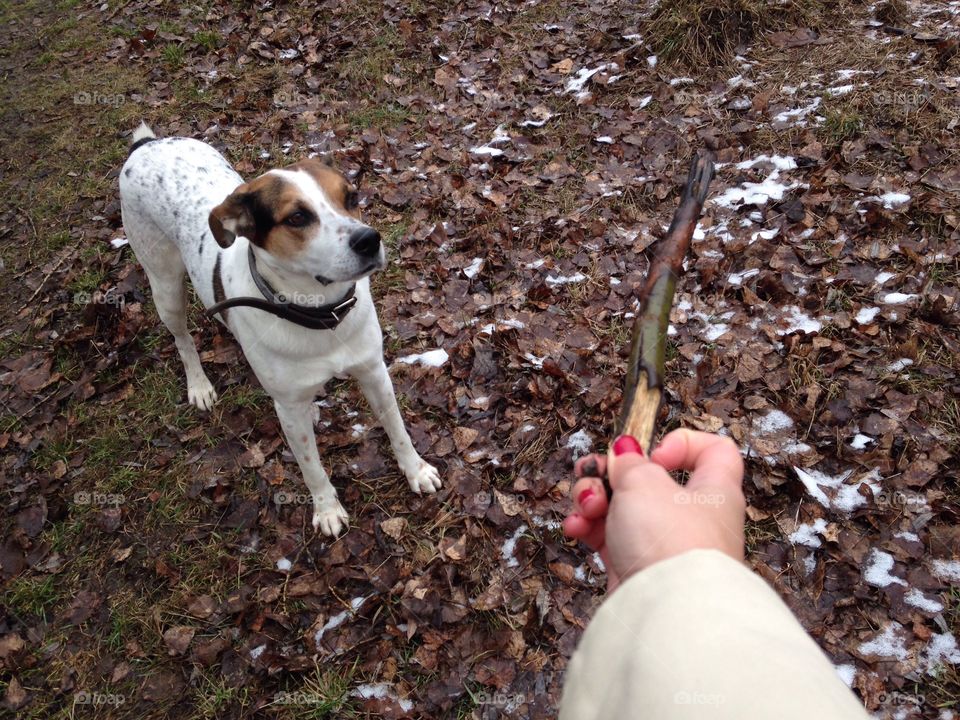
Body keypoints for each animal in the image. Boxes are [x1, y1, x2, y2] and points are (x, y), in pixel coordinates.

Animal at [119, 124, 442, 536]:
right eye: (297, 217)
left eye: (351, 197)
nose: (369, 240)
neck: (321, 313)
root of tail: (148, 144)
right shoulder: (288, 409)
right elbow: (310, 466)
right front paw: (326, 509)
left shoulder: (373, 371)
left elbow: (397, 428)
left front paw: (416, 470)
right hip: (164, 285)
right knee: (182, 339)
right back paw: (199, 385)